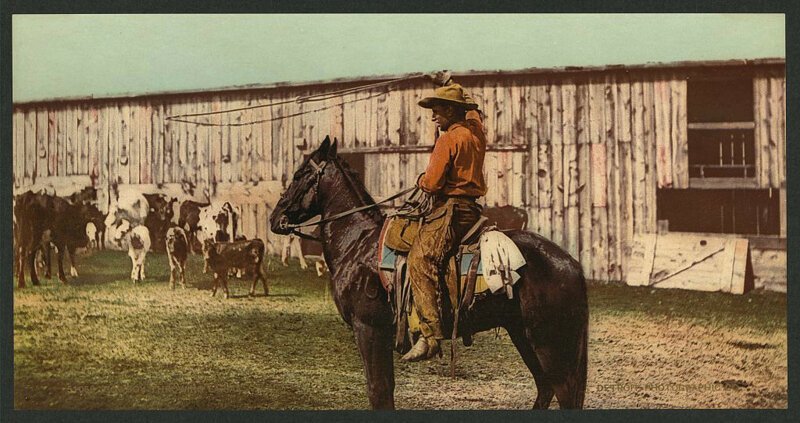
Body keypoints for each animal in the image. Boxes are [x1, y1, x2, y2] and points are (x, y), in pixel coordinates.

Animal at [268, 138, 588, 410]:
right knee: (545, 388)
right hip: (523, 335)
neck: (358, 242)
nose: (274, 218)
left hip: (549, 343)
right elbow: (386, 389)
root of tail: (571, 264)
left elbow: (378, 391)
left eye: (299, 174)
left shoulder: (368, 330)